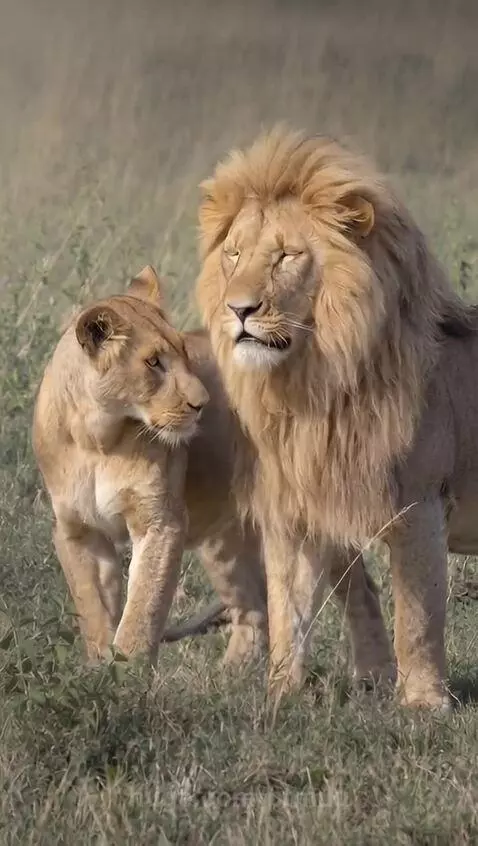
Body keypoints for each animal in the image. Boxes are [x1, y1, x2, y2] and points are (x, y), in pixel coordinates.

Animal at [32, 264, 392, 679]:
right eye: (152, 362)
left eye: (184, 352)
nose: (201, 403)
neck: (98, 437)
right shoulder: (77, 531)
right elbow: (92, 606)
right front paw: (98, 669)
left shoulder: (160, 522)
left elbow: (143, 607)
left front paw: (127, 675)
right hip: (222, 541)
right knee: (254, 606)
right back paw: (233, 678)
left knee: (362, 591)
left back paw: (373, 678)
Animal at [196, 125, 478, 709]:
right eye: (233, 255)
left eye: (286, 256)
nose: (238, 310)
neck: (314, 386)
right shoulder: (297, 506)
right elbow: (289, 611)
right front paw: (279, 696)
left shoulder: (419, 505)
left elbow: (417, 617)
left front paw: (424, 705)